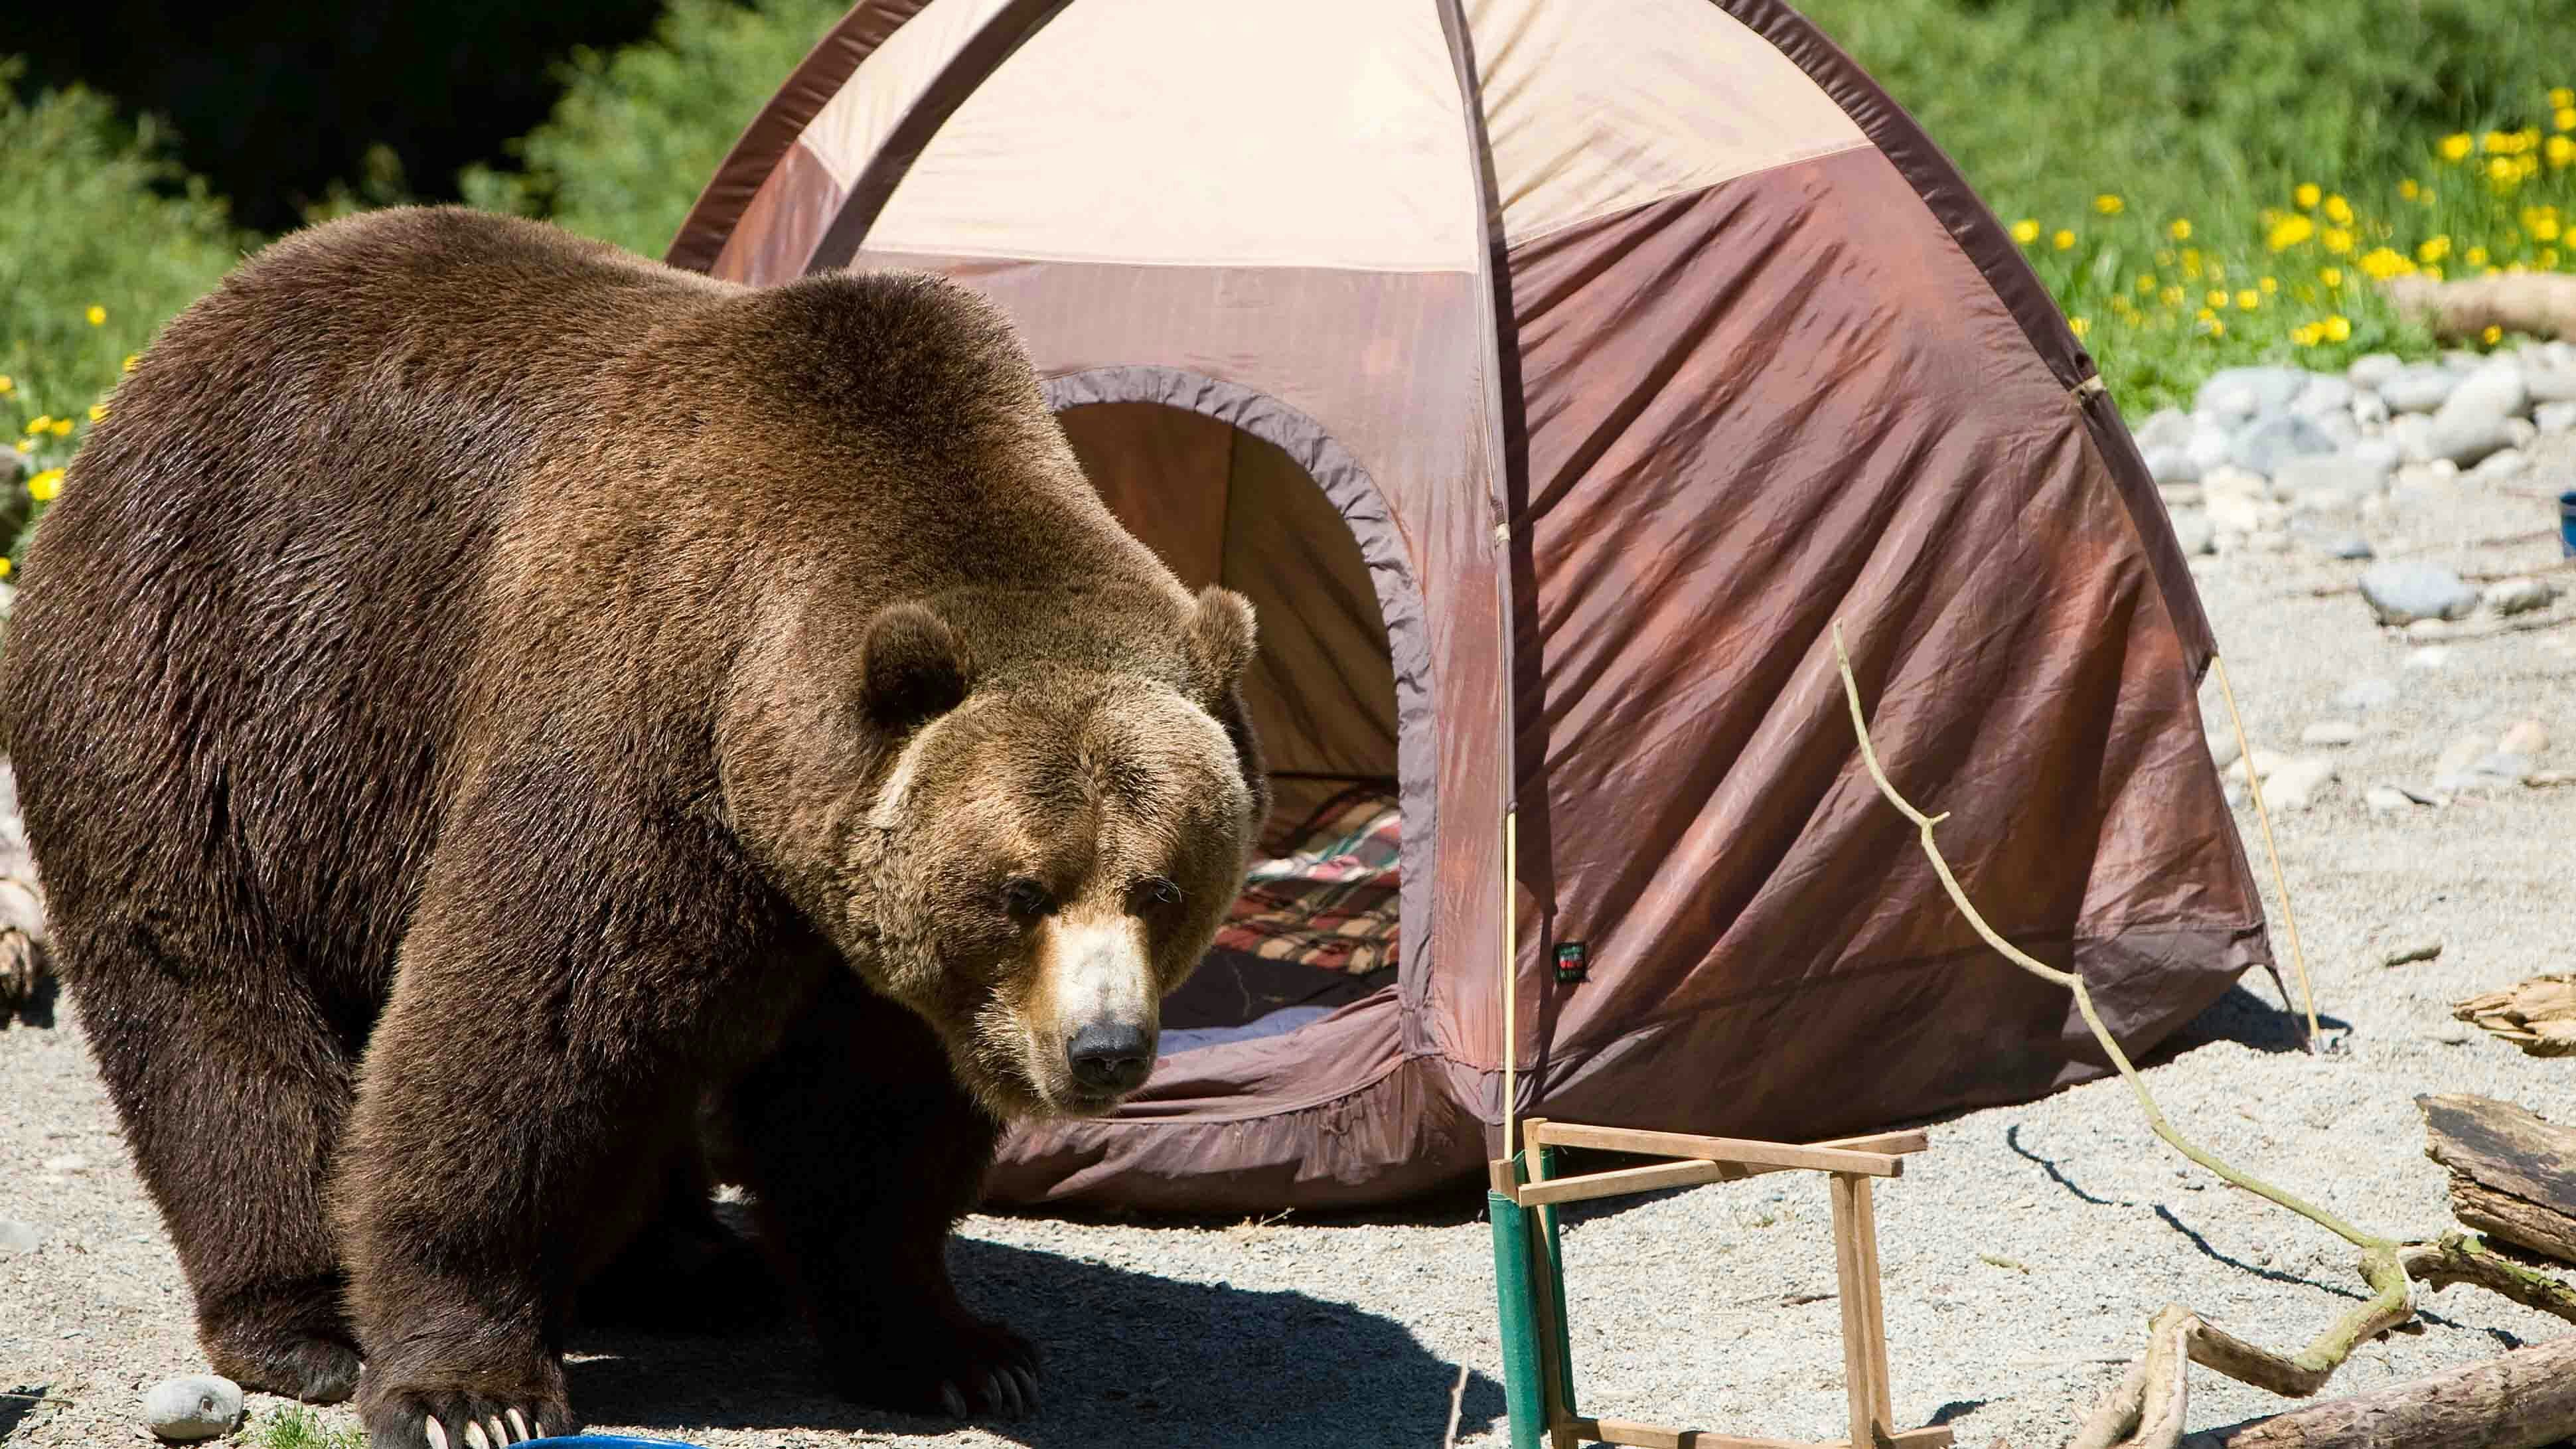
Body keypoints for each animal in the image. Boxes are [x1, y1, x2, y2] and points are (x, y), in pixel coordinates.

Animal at [0, 204, 1267, 1448]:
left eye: (1160, 886)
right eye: (1022, 890)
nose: (1105, 1047)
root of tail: (172, 348)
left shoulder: (853, 914)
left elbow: (869, 1120)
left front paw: (954, 1350)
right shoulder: (640, 728)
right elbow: (528, 1029)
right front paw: (470, 1390)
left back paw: (693, 1267)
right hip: (210, 676)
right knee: (211, 995)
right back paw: (307, 1316)